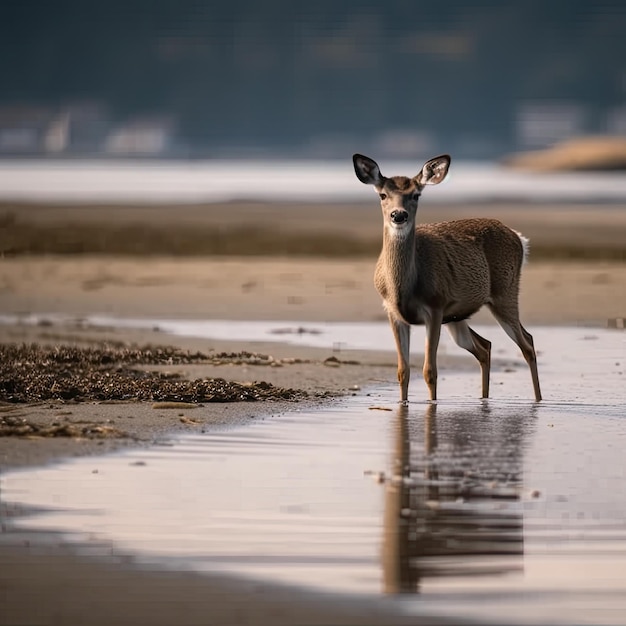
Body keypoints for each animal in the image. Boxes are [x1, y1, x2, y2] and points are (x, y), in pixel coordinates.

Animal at [352, 154, 540, 402]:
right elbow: (403, 371)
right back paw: (485, 398)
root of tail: (519, 238)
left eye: (416, 194)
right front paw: (403, 403)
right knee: (485, 347)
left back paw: (538, 400)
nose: (398, 215)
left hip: (505, 293)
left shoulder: (435, 306)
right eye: (382, 195)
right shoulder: (393, 312)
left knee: (526, 344)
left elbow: (429, 371)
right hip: (458, 318)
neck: (403, 288)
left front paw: (432, 404)